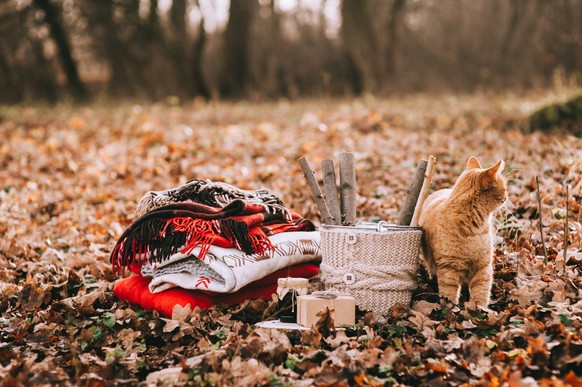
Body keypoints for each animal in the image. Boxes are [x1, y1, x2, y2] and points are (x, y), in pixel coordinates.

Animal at [420, 156, 506, 308]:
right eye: (505, 188)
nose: (507, 196)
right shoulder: (449, 266)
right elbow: (449, 294)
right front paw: (451, 309)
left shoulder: (483, 265)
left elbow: (481, 291)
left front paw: (480, 309)